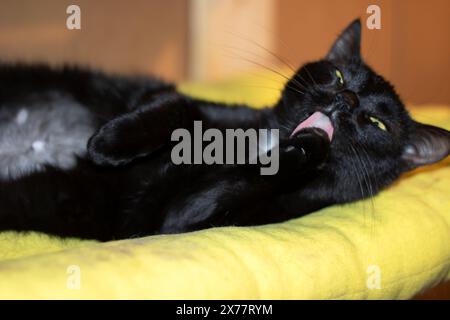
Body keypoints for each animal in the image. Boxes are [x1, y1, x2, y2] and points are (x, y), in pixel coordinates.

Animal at [0, 20, 448, 240]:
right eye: (337, 75)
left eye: (376, 123)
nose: (347, 100)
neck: (264, 142)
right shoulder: (178, 100)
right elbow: (178, 106)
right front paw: (108, 143)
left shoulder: (180, 218)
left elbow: (242, 180)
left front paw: (310, 145)